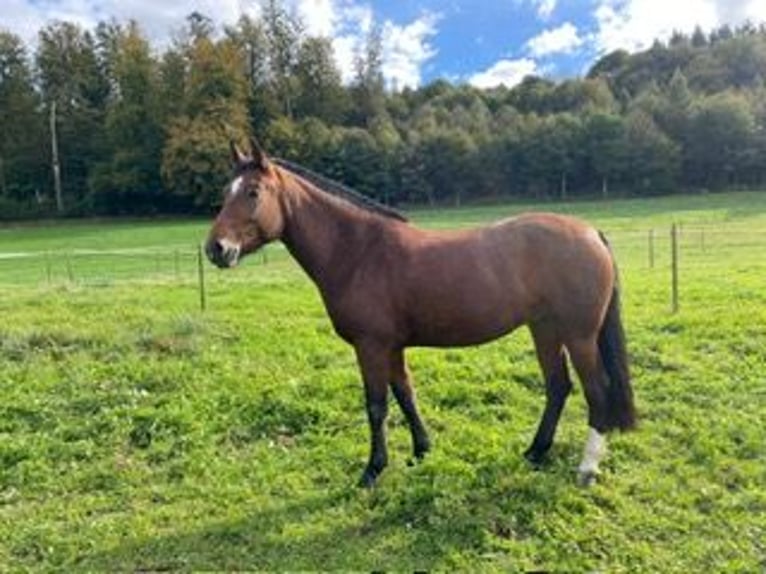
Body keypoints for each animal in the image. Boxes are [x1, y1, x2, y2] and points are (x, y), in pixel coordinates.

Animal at [204, 138, 636, 486]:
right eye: (226, 191)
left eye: (253, 192)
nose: (216, 249)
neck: (359, 252)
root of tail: (590, 232)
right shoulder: (392, 347)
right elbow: (405, 395)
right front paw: (421, 451)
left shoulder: (371, 347)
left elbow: (376, 406)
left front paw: (373, 470)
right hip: (544, 328)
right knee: (558, 386)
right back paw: (535, 452)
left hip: (579, 335)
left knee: (596, 390)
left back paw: (586, 469)